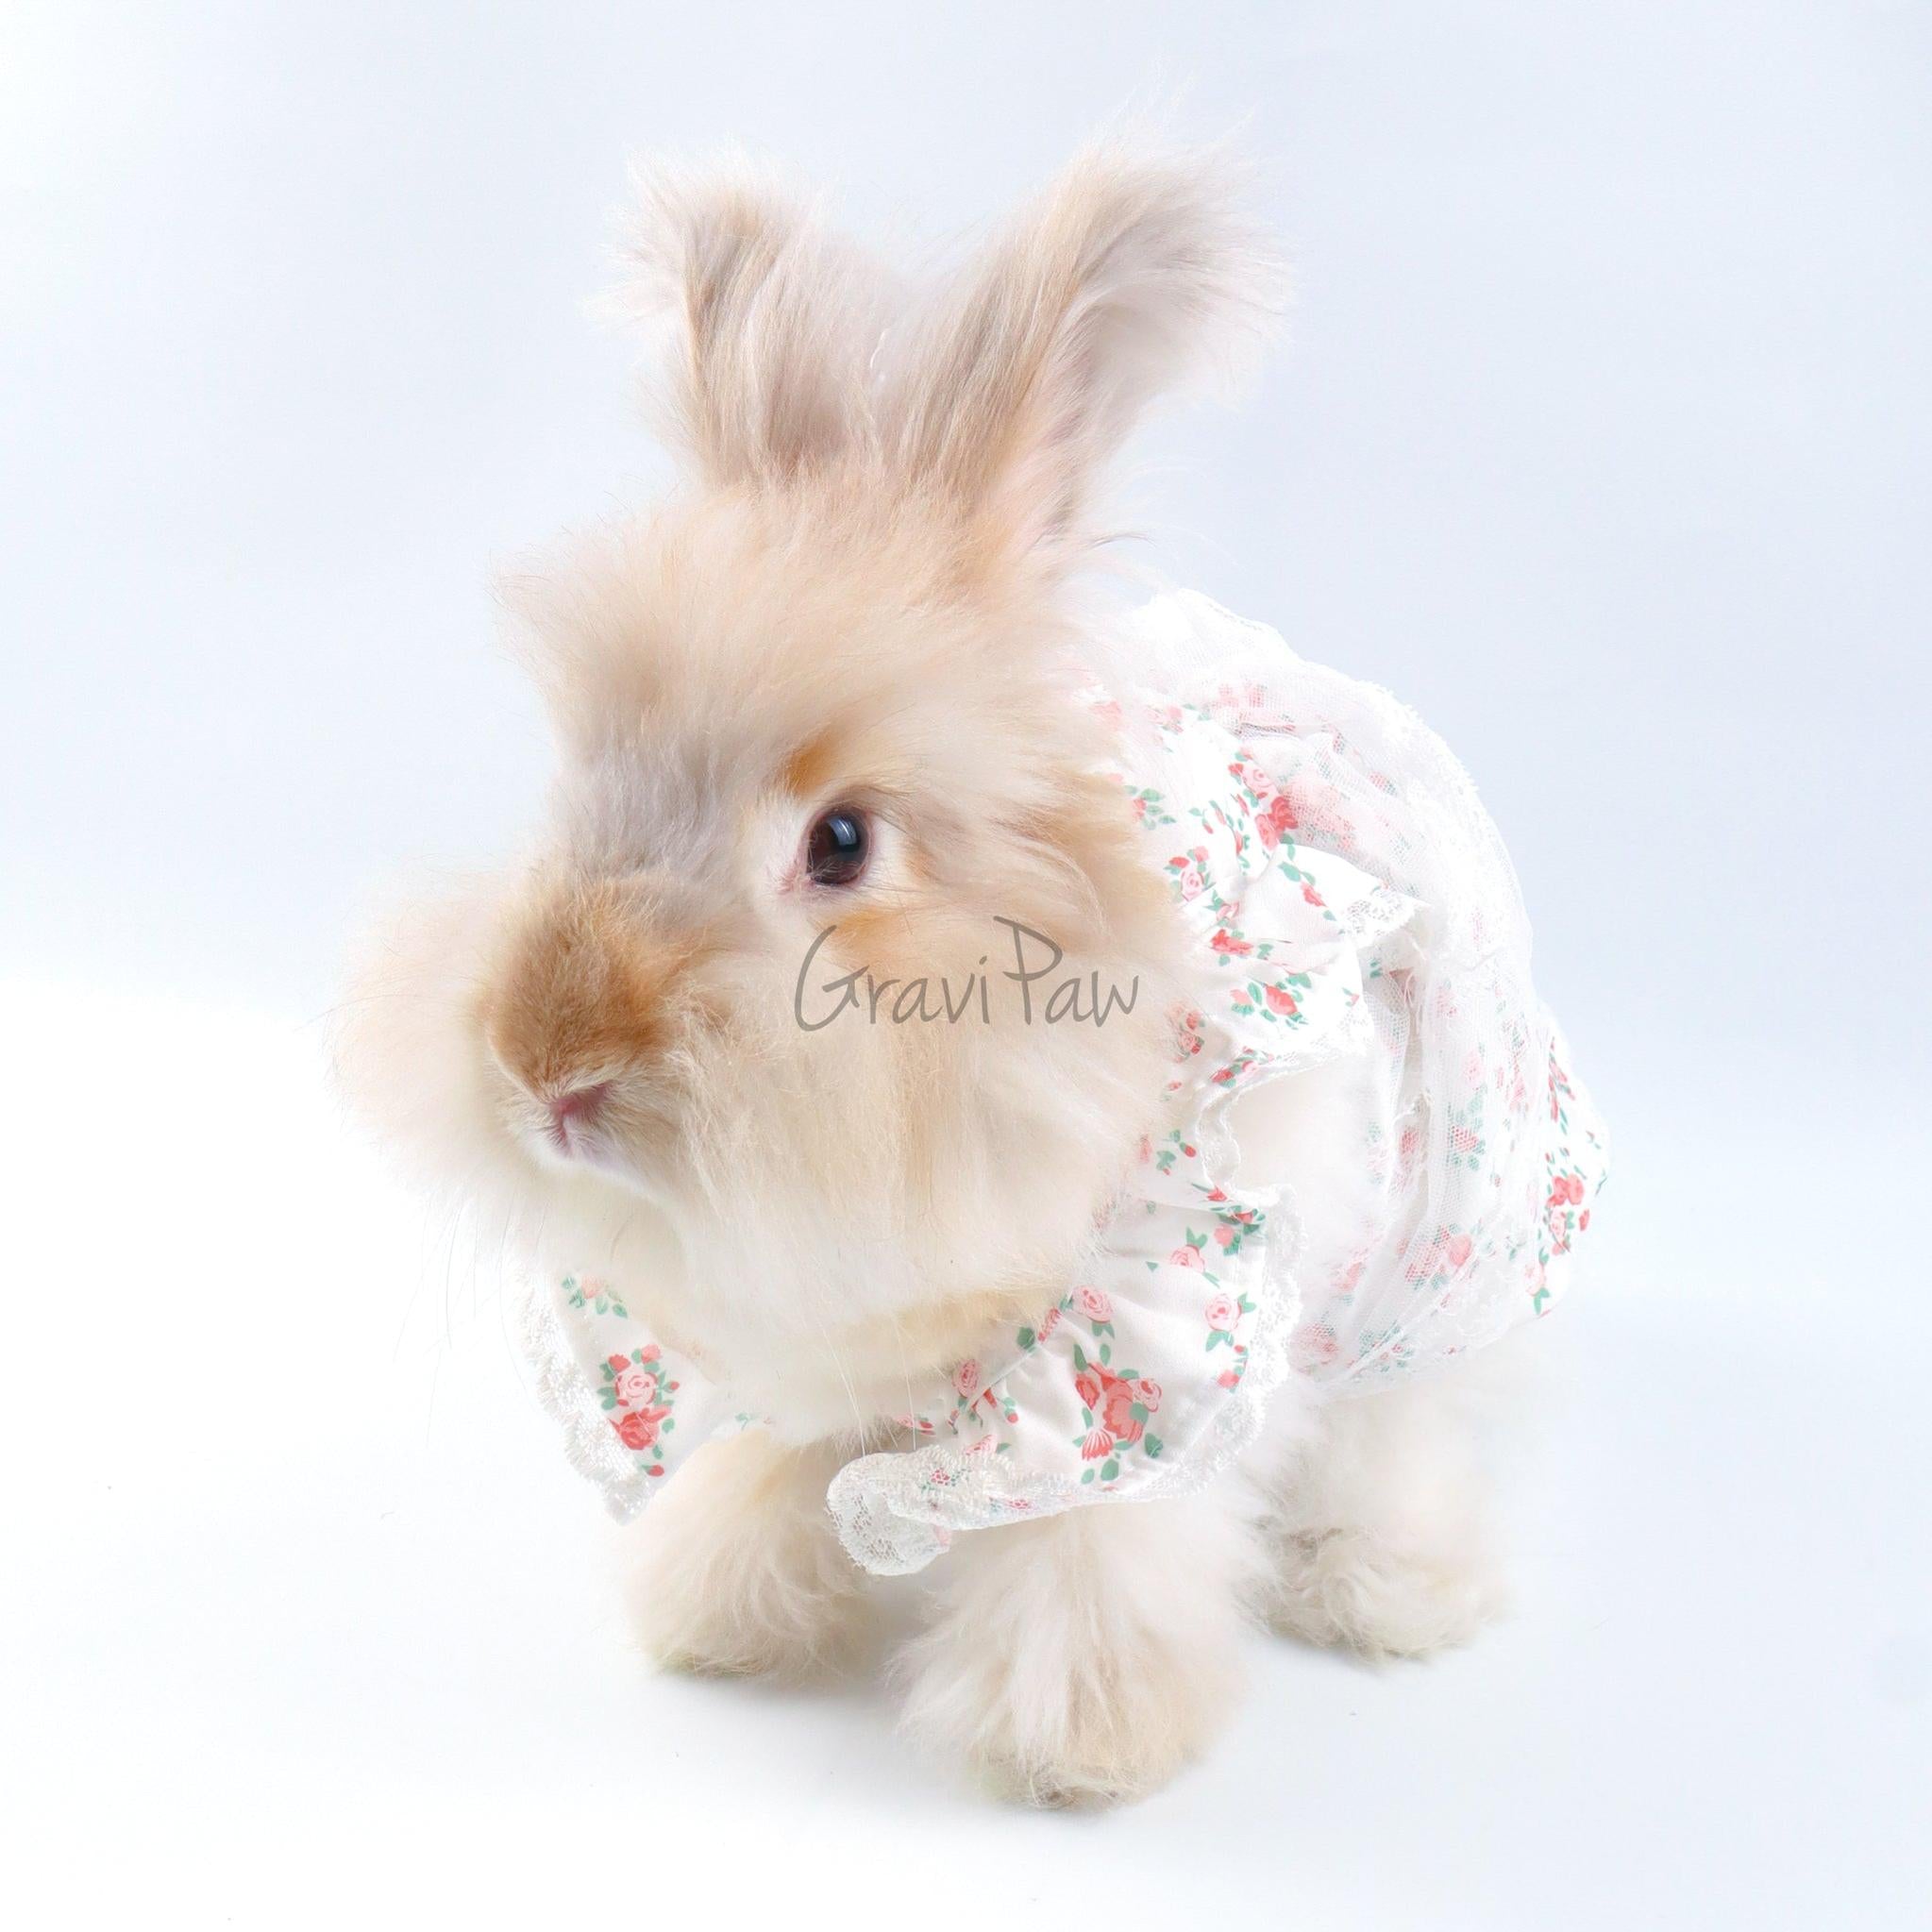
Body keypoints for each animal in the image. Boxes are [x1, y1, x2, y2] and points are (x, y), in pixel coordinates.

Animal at [340, 139, 1600, 1806]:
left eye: (842, 841)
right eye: (576, 786)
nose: (544, 1068)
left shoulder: (1142, 1366)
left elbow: (1087, 1553)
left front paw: (1076, 1742)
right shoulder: (784, 1352)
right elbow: (764, 1466)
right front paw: (715, 1615)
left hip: (1435, 1264)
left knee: (1397, 1432)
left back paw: (1384, 1592)